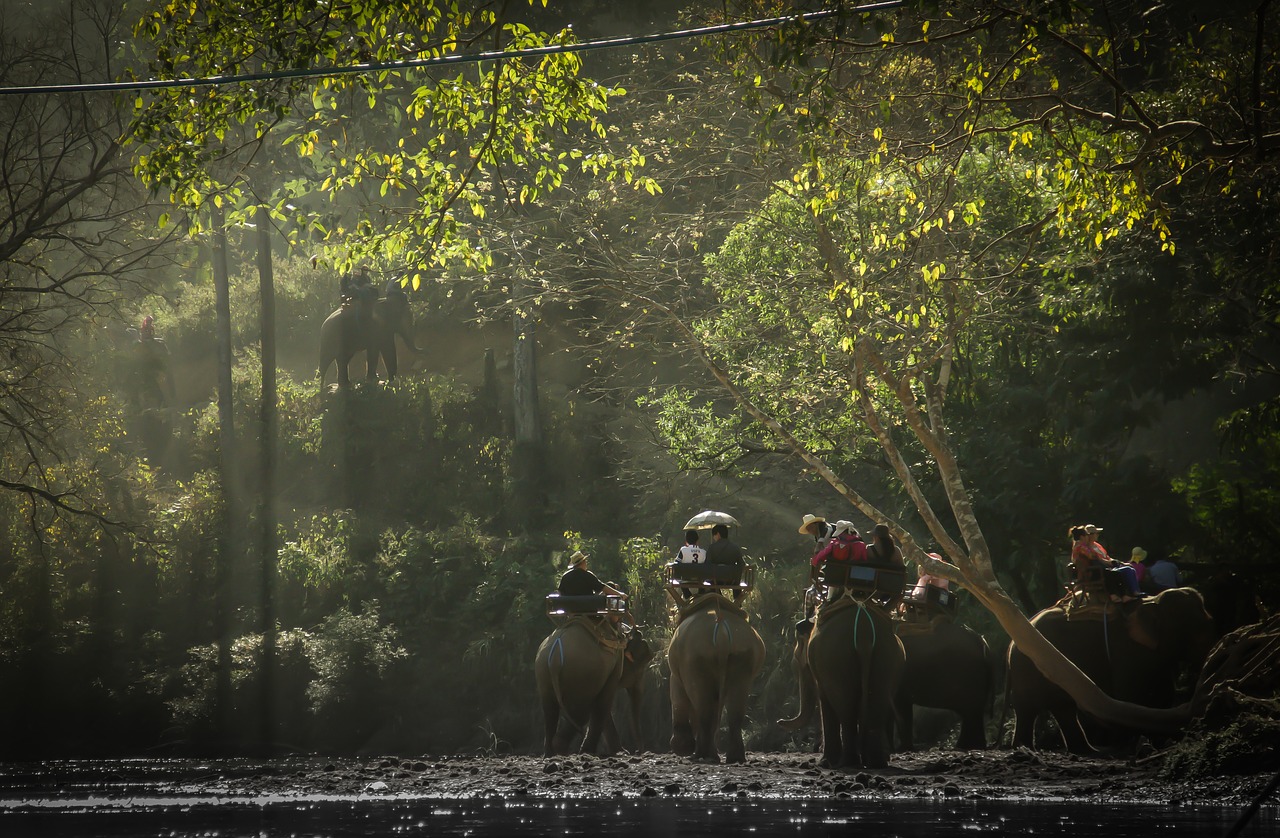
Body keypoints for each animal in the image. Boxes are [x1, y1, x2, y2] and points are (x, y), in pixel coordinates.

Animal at [532, 619, 650, 757]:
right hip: (584, 672)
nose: (637, 751)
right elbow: (604, 701)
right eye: (641, 668)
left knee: (551, 711)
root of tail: (555, 657)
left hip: (542, 669)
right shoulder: (615, 662)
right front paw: (618, 752)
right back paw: (562, 748)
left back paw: (550, 753)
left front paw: (619, 751)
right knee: (583, 709)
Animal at [665, 593, 762, 762]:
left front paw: (682, 748)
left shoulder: (677, 670)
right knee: (735, 709)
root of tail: (722, 632)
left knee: (703, 707)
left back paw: (702, 755)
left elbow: (677, 695)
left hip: (695, 657)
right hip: (743, 654)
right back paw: (734, 757)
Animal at [803, 596, 906, 767]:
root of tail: (864, 635)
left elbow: (825, 700)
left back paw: (848, 762)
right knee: (877, 706)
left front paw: (825, 763)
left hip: (836, 659)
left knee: (846, 710)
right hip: (887, 655)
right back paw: (875, 762)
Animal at [1003, 583, 1213, 752]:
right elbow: (1131, 692)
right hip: (1027, 667)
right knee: (1029, 707)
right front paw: (1141, 745)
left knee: (1063, 707)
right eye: (1194, 628)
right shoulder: (1127, 650)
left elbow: (1164, 692)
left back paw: (1087, 751)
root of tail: (1011, 646)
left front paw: (1157, 743)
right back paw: (1024, 748)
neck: (1153, 601)